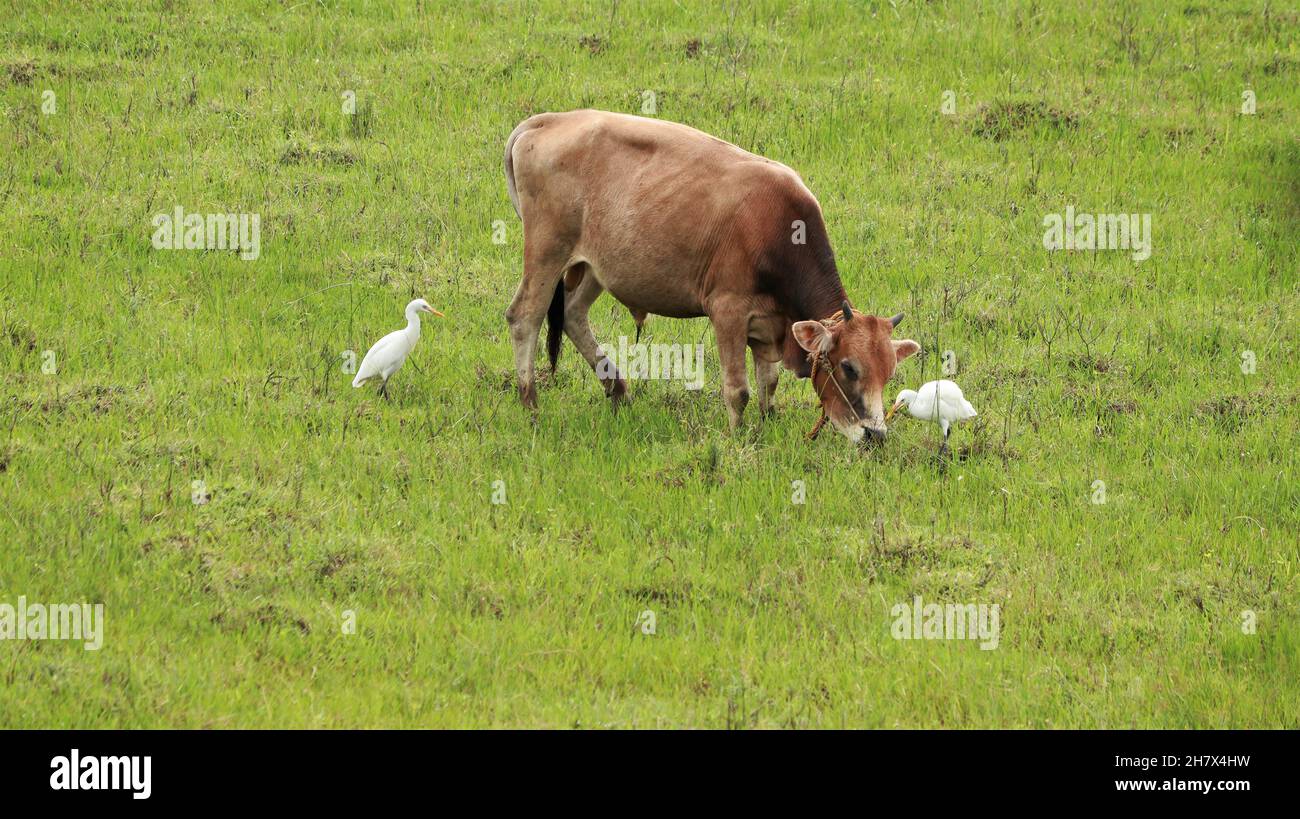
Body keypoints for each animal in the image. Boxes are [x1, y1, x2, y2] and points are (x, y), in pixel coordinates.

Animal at [501, 110, 920, 441]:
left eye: (889, 373)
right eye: (848, 367)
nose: (876, 436)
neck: (778, 229)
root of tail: (547, 120)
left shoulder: (770, 323)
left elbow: (768, 382)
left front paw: (767, 424)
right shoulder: (727, 310)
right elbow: (738, 389)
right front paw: (736, 436)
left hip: (596, 267)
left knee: (573, 313)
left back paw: (617, 389)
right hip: (547, 251)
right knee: (525, 316)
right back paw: (531, 404)